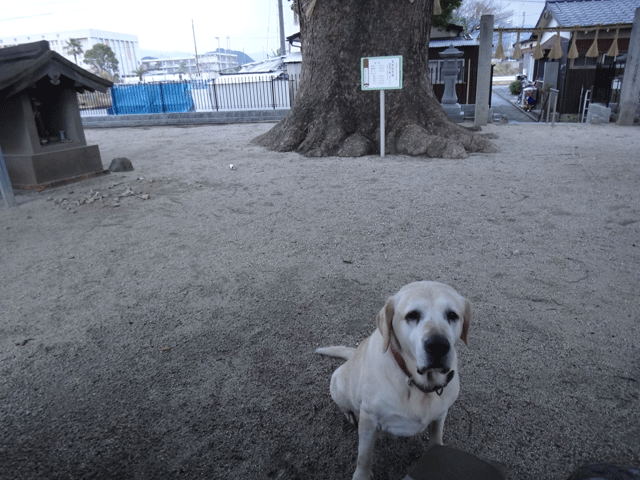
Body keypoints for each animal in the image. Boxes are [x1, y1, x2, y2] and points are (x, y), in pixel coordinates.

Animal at [316, 282, 470, 480]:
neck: (416, 382)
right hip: (338, 383)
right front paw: (362, 475)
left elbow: (436, 440)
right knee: (346, 406)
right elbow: (364, 456)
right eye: (412, 315)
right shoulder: (369, 420)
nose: (438, 345)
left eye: (452, 315)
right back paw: (350, 414)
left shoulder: (440, 414)